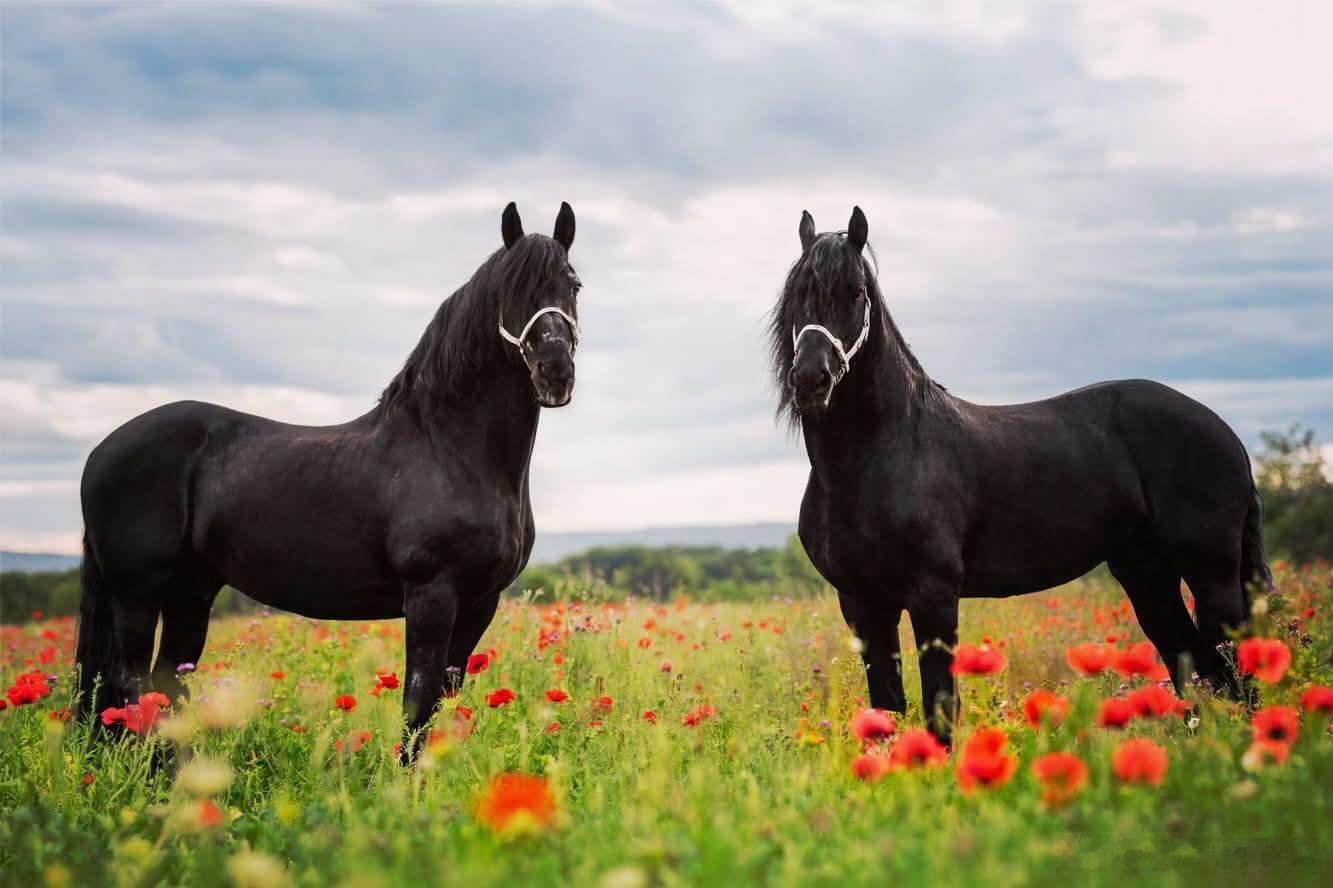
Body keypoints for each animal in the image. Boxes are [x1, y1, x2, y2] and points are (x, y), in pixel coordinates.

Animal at [75, 201, 582, 761]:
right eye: (511, 292)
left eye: (574, 285)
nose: (555, 371)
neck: (450, 448)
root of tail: (102, 451)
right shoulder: (431, 596)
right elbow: (418, 701)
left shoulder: (480, 602)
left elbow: (442, 700)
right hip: (137, 594)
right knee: (132, 687)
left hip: (191, 593)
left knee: (168, 687)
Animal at [769, 206, 1269, 744]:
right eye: (796, 294)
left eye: (857, 293)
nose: (811, 380)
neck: (880, 457)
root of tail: (1226, 433)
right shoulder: (862, 603)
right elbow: (887, 712)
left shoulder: (933, 596)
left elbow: (940, 710)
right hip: (1146, 574)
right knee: (1195, 671)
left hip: (1211, 574)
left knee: (1237, 677)